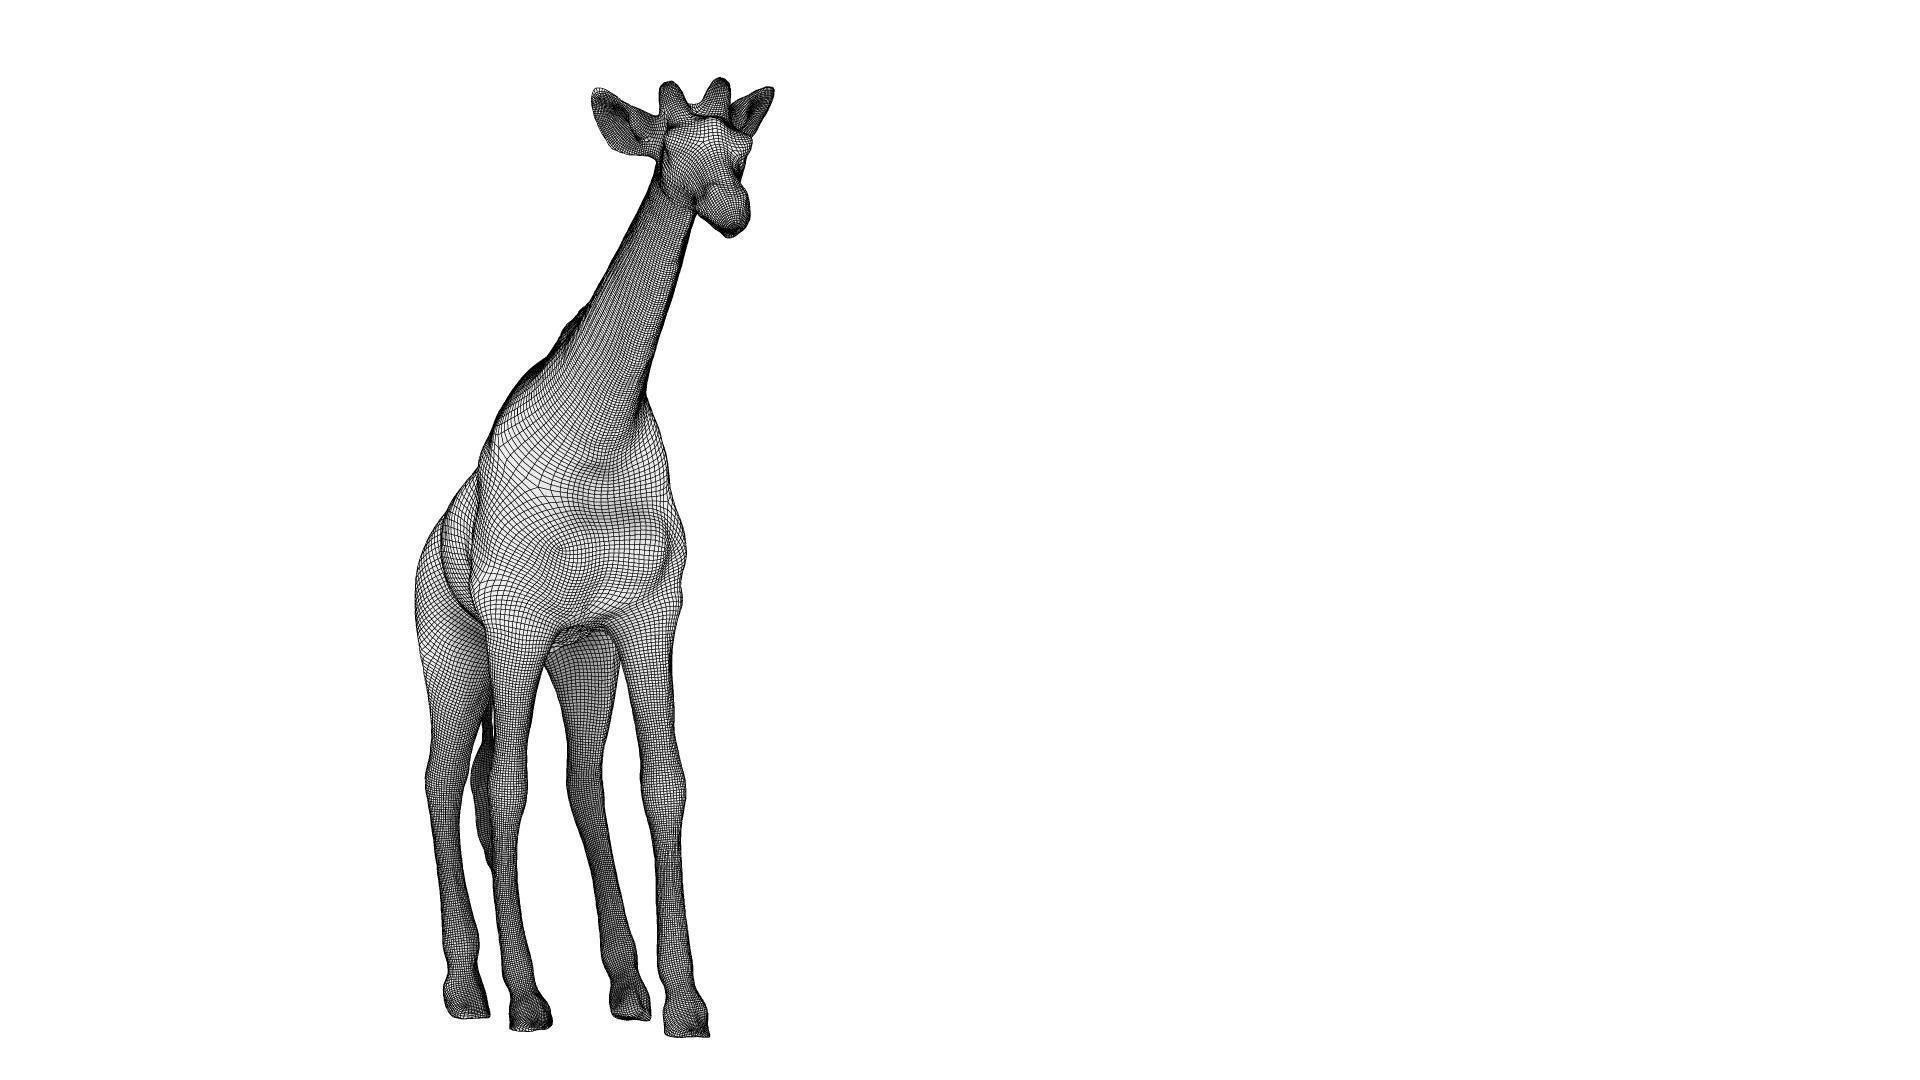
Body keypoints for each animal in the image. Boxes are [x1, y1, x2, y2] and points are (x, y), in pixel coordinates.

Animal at [413, 77, 774, 1035]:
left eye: (741, 151)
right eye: (664, 142)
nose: (732, 210)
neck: (598, 440)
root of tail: (430, 545)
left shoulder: (647, 615)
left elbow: (664, 783)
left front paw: (686, 1001)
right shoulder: (513, 618)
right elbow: (508, 787)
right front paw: (527, 996)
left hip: (579, 654)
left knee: (573, 777)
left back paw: (622, 984)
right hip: (455, 649)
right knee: (447, 778)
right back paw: (467, 988)